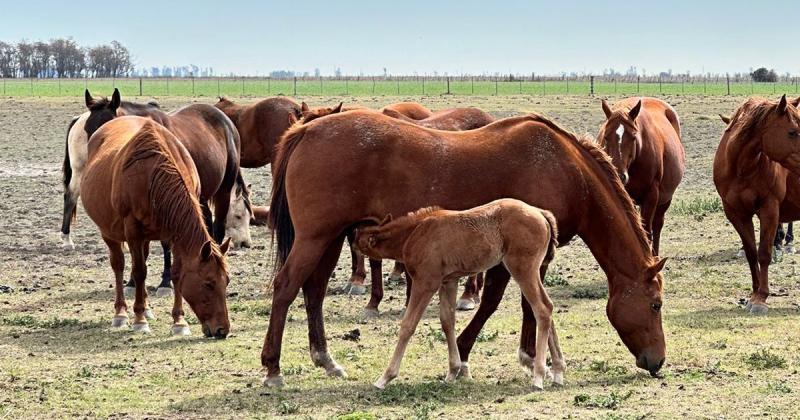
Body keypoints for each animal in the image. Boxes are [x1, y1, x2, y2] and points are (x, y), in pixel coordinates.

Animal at [81, 115, 231, 338]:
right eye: (208, 283)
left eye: (226, 281)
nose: (222, 330)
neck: (152, 175)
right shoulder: (132, 231)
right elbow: (139, 272)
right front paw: (139, 319)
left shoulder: (174, 234)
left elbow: (177, 273)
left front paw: (179, 321)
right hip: (109, 233)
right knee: (119, 265)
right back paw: (121, 313)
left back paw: (147, 308)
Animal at [354, 199, 564, 390]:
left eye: (358, 242)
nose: (353, 245)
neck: (413, 233)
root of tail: (541, 213)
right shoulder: (449, 281)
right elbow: (447, 321)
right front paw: (453, 371)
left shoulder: (426, 283)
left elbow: (408, 325)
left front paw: (385, 377)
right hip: (530, 270)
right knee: (548, 307)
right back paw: (558, 372)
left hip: (522, 268)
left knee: (542, 308)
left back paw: (538, 377)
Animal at [596, 97, 684, 256]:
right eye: (606, 137)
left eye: (633, 137)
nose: (620, 175)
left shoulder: (651, 196)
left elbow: (647, 232)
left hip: (664, 200)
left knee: (657, 225)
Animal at [712, 94, 800, 312]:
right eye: (792, 132)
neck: (743, 168)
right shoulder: (736, 213)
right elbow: (751, 253)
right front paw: (754, 292)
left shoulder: (769, 209)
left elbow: (764, 253)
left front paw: (761, 297)